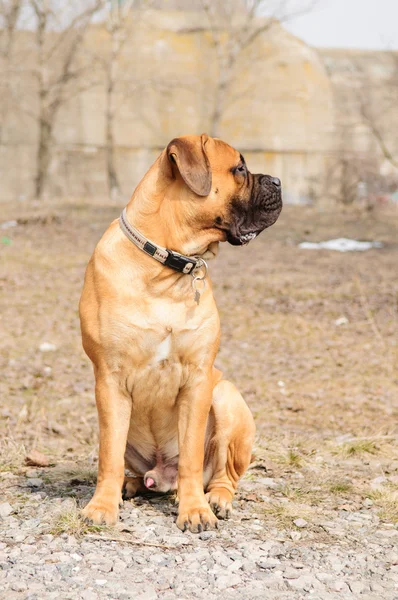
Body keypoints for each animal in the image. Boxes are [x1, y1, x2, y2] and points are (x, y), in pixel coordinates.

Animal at [79, 134, 282, 532]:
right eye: (240, 168)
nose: (279, 182)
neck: (166, 267)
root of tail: (162, 475)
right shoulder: (109, 380)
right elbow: (108, 455)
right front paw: (102, 506)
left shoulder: (198, 379)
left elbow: (190, 455)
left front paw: (195, 511)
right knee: (129, 466)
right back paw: (129, 485)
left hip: (226, 399)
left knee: (223, 475)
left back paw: (216, 499)